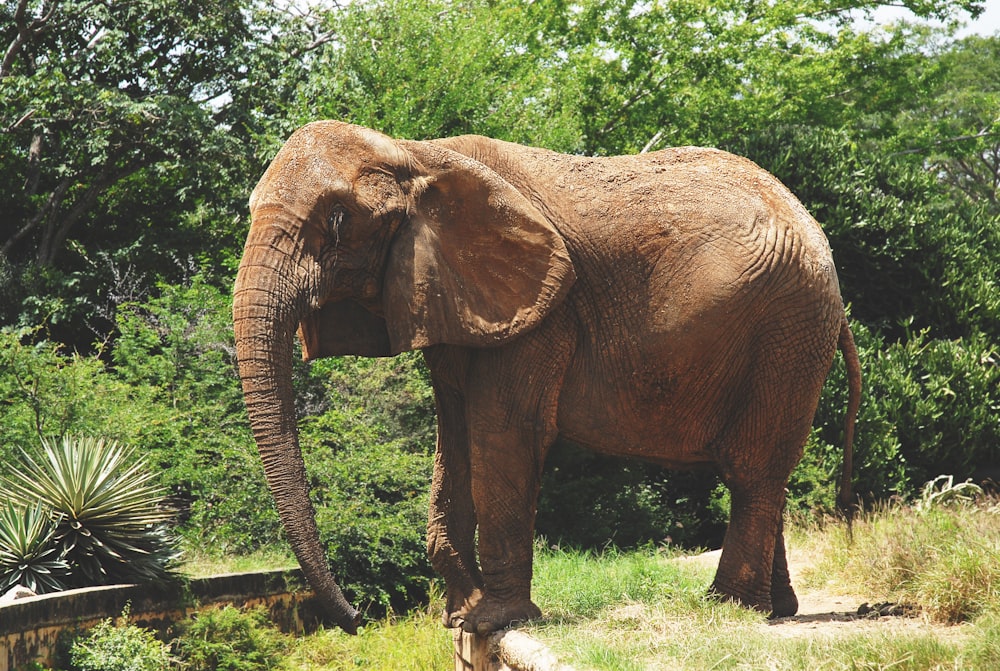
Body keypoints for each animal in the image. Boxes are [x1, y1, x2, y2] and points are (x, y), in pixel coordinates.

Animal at [232, 119, 860, 636]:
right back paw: (778, 609)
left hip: (787, 327)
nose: (358, 618)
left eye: (337, 222)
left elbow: (505, 433)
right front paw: (458, 617)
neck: (415, 154)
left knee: (752, 468)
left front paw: (491, 622)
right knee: (764, 472)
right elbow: (454, 437)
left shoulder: (541, 311)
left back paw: (729, 608)